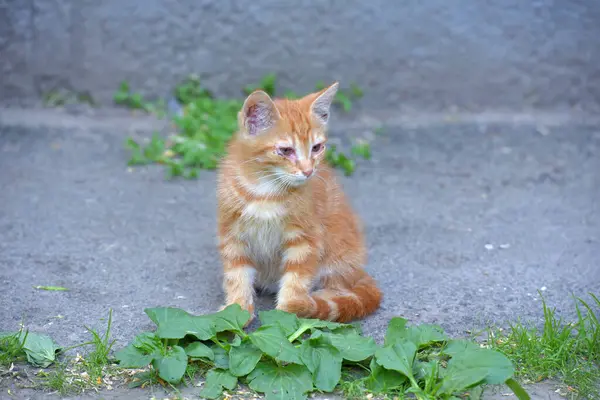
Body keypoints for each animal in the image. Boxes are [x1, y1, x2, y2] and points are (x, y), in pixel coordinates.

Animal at [217, 81, 380, 322]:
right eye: (286, 150)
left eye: (317, 147)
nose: (308, 171)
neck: (266, 190)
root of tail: (358, 271)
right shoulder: (232, 233)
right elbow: (236, 274)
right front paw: (237, 309)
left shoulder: (306, 237)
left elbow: (297, 278)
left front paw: (288, 311)